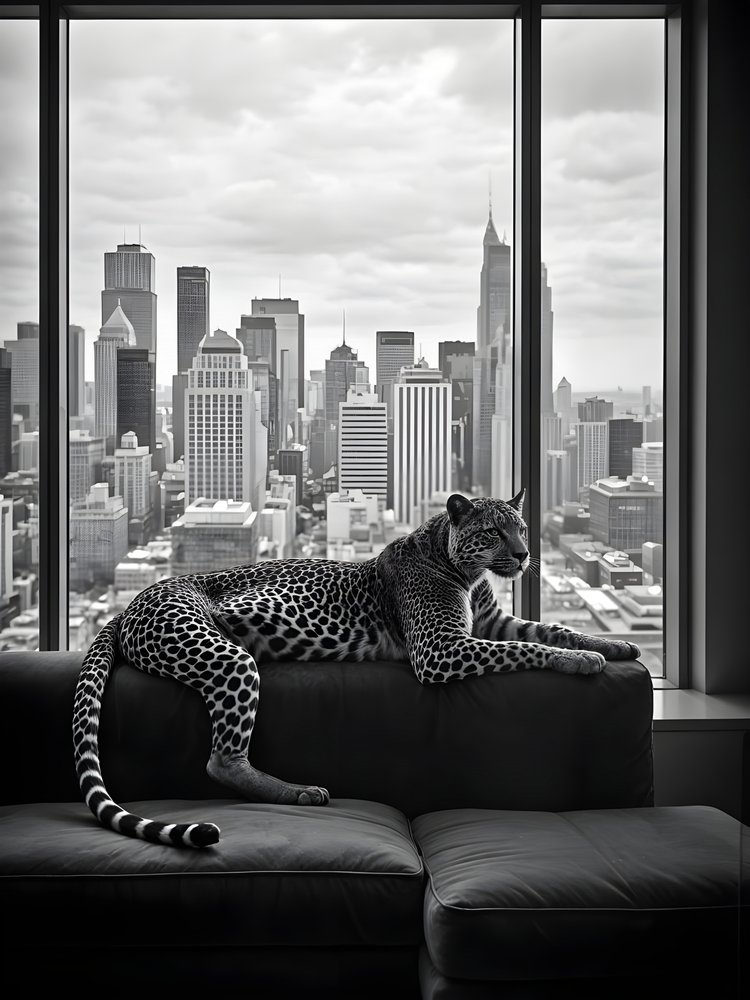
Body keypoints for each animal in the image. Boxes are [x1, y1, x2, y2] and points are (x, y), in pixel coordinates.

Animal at [73, 490, 641, 849]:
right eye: (492, 532)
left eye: (520, 528)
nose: (524, 556)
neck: (465, 570)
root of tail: (130, 602)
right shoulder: (442, 648)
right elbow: (528, 650)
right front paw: (582, 662)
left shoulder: (493, 622)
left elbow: (552, 630)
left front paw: (611, 645)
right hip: (224, 656)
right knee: (221, 761)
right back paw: (298, 792)